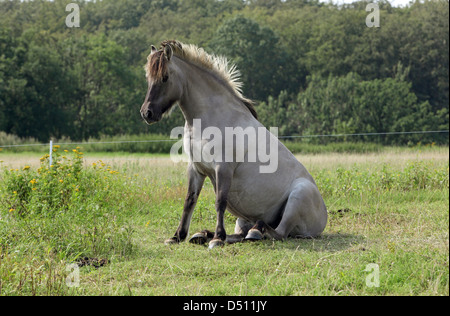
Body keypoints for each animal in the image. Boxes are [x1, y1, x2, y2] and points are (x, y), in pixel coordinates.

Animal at [141, 39, 326, 248]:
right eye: (148, 77)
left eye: (165, 77)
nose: (147, 113)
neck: (211, 117)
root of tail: (323, 218)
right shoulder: (196, 169)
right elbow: (189, 200)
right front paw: (178, 236)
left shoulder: (223, 168)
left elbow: (220, 201)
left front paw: (217, 239)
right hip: (242, 219)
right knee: (241, 235)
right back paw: (203, 235)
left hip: (298, 196)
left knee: (278, 233)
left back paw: (255, 231)